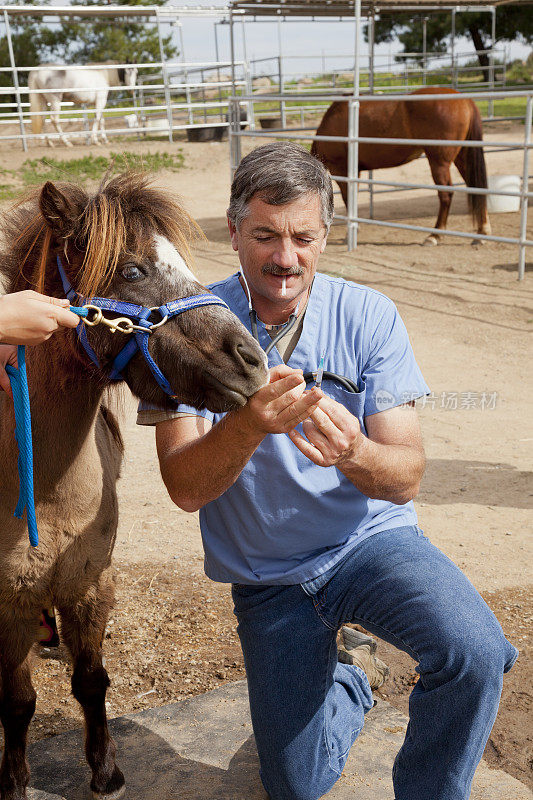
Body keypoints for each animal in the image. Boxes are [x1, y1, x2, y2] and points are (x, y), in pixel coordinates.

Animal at [0, 175, 266, 800]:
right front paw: (14, 781)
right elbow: (17, 702)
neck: (40, 488)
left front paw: (105, 771)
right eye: (133, 270)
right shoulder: (9, 602)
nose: (251, 359)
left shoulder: (90, 582)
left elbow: (91, 681)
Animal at [312, 86, 490, 244]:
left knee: (446, 194)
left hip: (439, 162)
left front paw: (350, 234)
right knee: (476, 187)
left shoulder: (342, 170)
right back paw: (482, 231)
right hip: (461, 157)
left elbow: (348, 199)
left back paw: (435, 235)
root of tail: (464, 100)